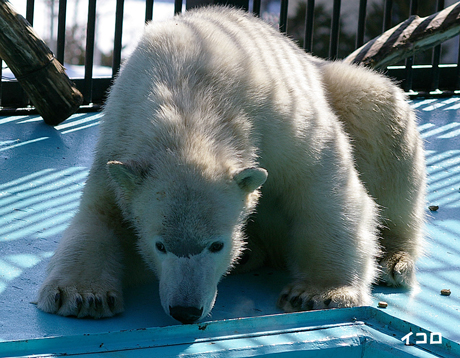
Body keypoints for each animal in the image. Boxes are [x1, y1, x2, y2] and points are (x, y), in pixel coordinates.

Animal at [37, 6, 426, 324]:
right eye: (160, 245)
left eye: (216, 245)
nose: (185, 311)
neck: (189, 98)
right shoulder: (119, 140)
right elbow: (101, 216)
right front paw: (82, 296)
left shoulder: (283, 123)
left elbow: (325, 192)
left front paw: (321, 294)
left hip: (337, 88)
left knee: (383, 120)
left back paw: (393, 260)